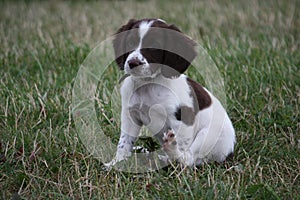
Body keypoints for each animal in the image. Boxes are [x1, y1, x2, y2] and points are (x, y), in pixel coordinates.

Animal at [105, 18, 237, 168]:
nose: (133, 63)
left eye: (155, 46)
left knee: (188, 159)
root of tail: (229, 152)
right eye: (130, 42)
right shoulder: (130, 115)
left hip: (208, 135)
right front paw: (116, 163)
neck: (148, 84)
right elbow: (124, 142)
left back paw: (171, 152)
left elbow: (182, 145)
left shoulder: (182, 119)